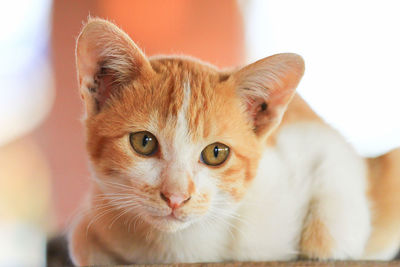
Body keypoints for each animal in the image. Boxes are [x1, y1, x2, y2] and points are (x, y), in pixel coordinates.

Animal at [68, 18, 400, 266]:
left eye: (216, 153)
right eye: (144, 142)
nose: (176, 197)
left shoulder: (312, 137)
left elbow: (340, 165)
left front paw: (326, 242)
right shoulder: (92, 221)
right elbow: (82, 243)